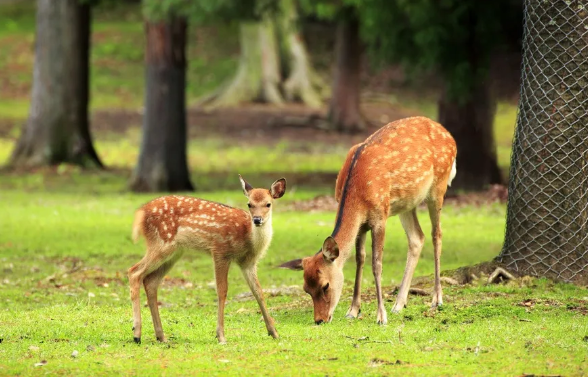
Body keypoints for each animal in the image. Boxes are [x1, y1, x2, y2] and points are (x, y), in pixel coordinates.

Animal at [127, 175, 286, 342]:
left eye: (268, 204)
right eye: (249, 204)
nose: (257, 219)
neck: (248, 237)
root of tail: (140, 213)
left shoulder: (248, 263)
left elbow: (258, 291)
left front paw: (274, 332)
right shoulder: (220, 251)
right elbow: (222, 291)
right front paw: (221, 335)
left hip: (174, 252)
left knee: (150, 281)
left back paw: (161, 336)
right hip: (161, 243)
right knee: (134, 272)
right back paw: (137, 334)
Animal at [282, 117, 458, 324]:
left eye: (325, 285)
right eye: (306, 289)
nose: (320, 320)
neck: (358, 192)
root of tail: (449, 135)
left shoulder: (380, 216)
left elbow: (376, 264)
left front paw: (381, 316)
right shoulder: (361, 225)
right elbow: (360, 259)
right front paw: (353, 310)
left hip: (438, 186)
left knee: (436, 234)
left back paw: (436, 299)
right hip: (407, 203)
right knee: (417, 237)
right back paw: (399, 304)